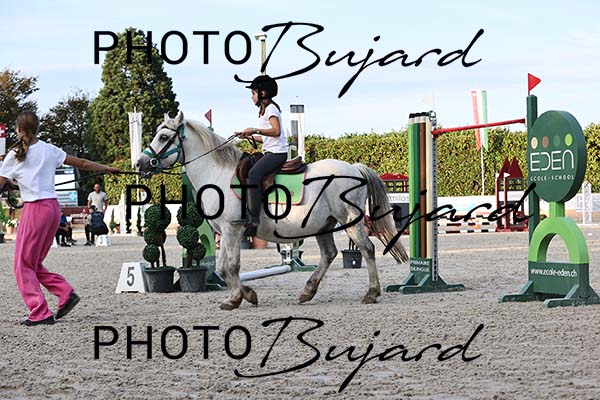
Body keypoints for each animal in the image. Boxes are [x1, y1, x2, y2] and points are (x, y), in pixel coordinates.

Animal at [136, 111, 408, 310]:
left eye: (163, 137)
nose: (139, 163)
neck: (218, 174)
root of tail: (354, 168)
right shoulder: (225, 231)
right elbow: (224, 267)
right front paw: (245, 294)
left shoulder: (232, 229)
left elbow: (230, 267)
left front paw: (236, 299)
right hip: (325, 224)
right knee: (329, 254)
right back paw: (307, 292)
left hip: (350, 221)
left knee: (367, 249)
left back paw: (371, 293)